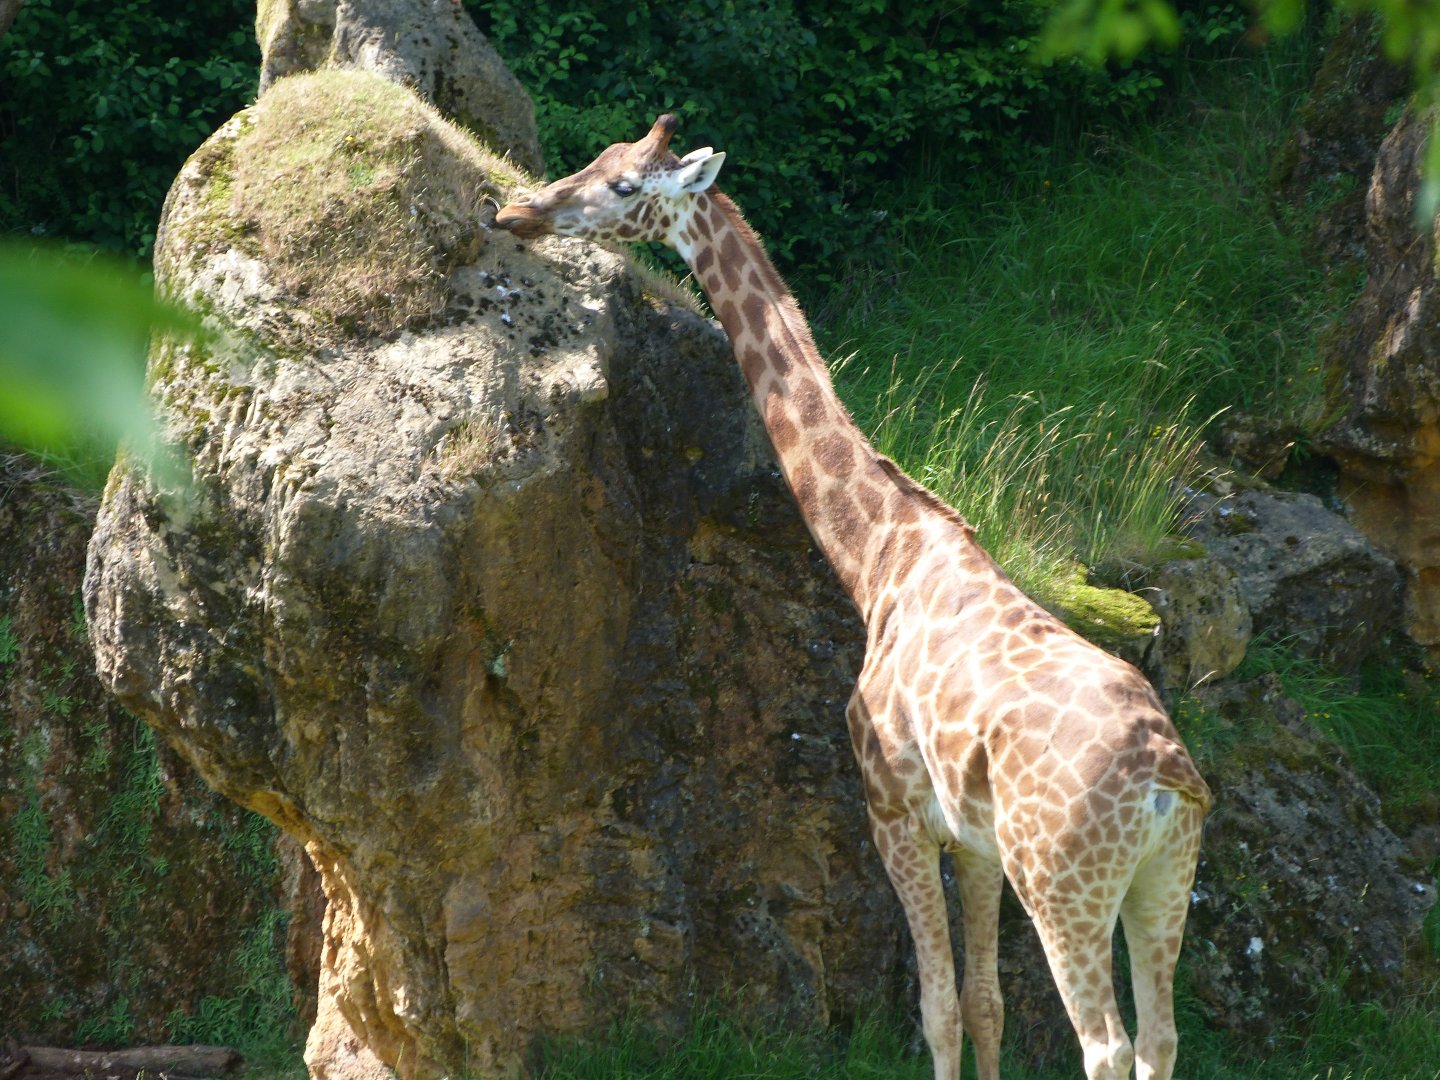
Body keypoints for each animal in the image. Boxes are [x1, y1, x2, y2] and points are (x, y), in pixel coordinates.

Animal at [495, 115, 1212, 1080]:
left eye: (622, 186)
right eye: (598, 162)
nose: (518, 211)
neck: (880, 560)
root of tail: (1166, 777)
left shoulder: (892, 808)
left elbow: (937, 1008)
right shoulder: (976, 842)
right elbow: (984, 1003)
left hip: (1066, 885)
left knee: (1106, 1045)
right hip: (1161, 883)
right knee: (1161, 1040)